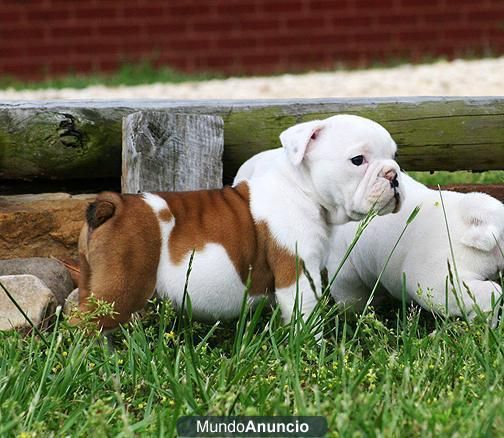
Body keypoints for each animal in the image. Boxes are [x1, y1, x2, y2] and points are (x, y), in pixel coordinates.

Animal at [75, 114, 402, 330]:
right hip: (122, 284)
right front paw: (312, 347)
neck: (300, 188)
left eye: (394, 156)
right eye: (358, 160)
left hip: (93, 278)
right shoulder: (298, 271)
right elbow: (306, 312)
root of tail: (113, 206)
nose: (393, 175)